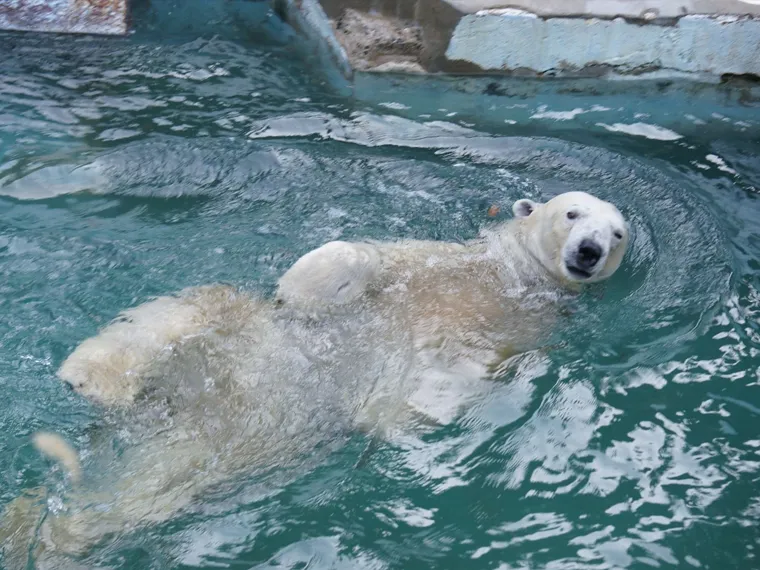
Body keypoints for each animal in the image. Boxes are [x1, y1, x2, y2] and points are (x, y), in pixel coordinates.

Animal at [1, 190, 628, 564]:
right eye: (572, 213)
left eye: (619, 232)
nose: (590, 250)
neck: (513, 277)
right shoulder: (429, 260)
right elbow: (356, 258)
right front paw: (308, 286)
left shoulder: (525, 330)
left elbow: (456, 376)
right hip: (225, 343)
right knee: (191, 313)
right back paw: (89, 376)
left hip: (216, 454)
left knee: (131, 500)